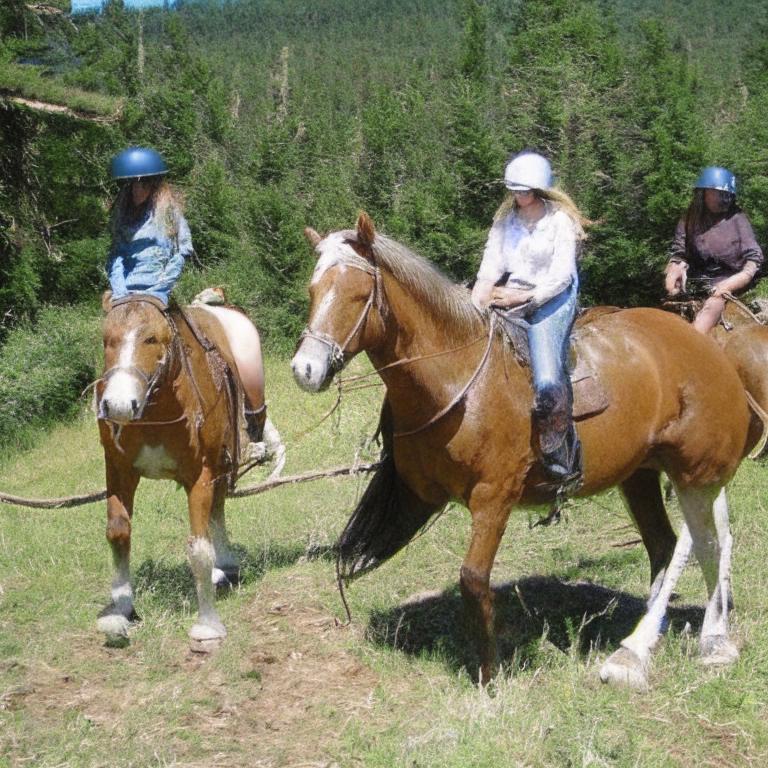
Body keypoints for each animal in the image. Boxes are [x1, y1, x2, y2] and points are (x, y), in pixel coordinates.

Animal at [96, 294, 283, 647]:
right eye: (106, 340)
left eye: (152, 338)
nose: (118, 405)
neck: (157, 411)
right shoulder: (119, 471)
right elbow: (118, 532)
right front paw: (122, 609)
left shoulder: (201, 474)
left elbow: (198, 549)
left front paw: (207, 624)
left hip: (221, 462)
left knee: (216, 510)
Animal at [291, 212, 754, 689]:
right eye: (313, 290)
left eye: (358, 293)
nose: (305, 369)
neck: (458, 381)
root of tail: (705, 344)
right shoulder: (420, 492)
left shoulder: (495, 496)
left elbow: (474, 580)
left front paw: (490, 675)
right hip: (644, 476)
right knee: (677, 544)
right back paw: (695, 636)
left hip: (696, 471)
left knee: (703, 542)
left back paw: (652, 649)